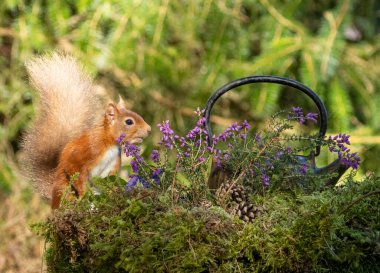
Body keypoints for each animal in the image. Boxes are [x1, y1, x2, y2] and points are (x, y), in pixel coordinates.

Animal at [21, 53, 151, 208]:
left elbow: (109, 182)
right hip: (64, 188)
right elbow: (76, 172)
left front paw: (114, 195)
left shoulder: (112, 166)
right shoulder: (86, 151)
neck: (109, 143)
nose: (149, 129)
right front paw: (83, 196)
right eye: (129, 122)